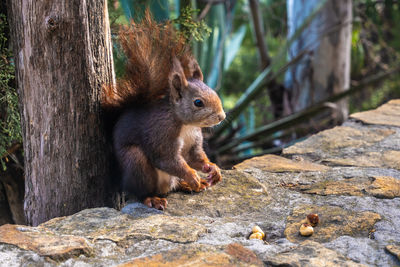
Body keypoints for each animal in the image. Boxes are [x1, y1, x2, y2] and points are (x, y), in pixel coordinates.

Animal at [102, 12, 225, 211]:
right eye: (198, 102)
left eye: (214, 92)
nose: (222, 116)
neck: (185, 125)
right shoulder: (160, 135)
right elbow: (168, 160)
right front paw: (191, 175)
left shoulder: (193, 141)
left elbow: (195, 157)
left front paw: (212, 168)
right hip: (136, 163)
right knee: (141, 191)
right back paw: (153, 198)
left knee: (174, 185)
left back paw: (191, 185)